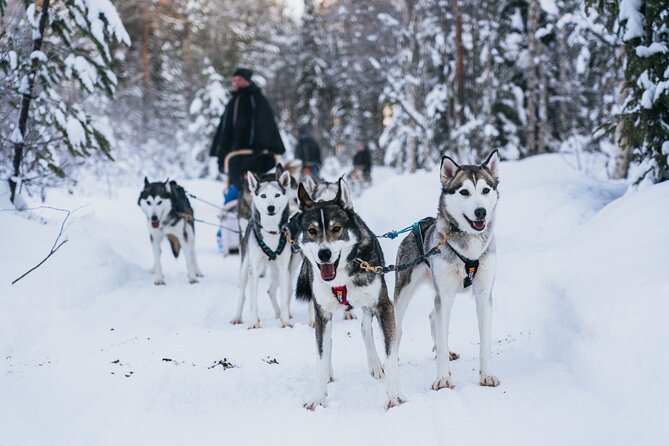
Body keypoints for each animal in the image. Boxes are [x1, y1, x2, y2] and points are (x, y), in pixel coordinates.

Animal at [232, 167, 292, 328]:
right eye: (263, 195)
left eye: (277, 195)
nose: (270, 207)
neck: (270, 232)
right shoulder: (254, 269)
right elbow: (253, 301)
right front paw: (254, 323)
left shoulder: (284, 269)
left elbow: (285, 298)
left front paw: (285, 321)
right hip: (245, 268)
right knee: (243, 295)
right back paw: (237, 317)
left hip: (275, 270)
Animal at [294, 179, 404, 410]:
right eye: (311, 231)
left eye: (337, 229)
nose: (324, 253)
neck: (340, 278)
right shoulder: (322, 313)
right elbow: (321, 354)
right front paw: (318, 397)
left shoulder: (383, 306)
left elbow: (390, 356)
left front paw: (394, 396)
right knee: (327, 342)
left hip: (369, 305)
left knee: (365, 329)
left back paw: (375, 364)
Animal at [394, 151, 498, 390]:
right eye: (464, 192)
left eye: (485, 190)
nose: (481, 211)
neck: (469, 250)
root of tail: (417, 226)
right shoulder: (446, 295)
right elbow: (441, 340)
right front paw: (442, 379)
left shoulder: (483, 294)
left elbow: (485, 343)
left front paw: (487, 375)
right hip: (404, 292)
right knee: (397, 327)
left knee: (433, 315)